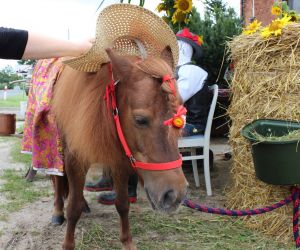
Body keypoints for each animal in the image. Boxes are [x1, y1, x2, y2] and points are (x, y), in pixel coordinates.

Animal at [51, 47, 188, 249]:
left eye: (181, 117)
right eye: (140, 120)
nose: (175, 195)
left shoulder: (121, 160)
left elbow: (123, 204)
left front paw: (127, 242)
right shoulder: (74, 159)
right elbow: (73, 208)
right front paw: (68, 244)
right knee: (57, 181)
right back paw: (57, 212)